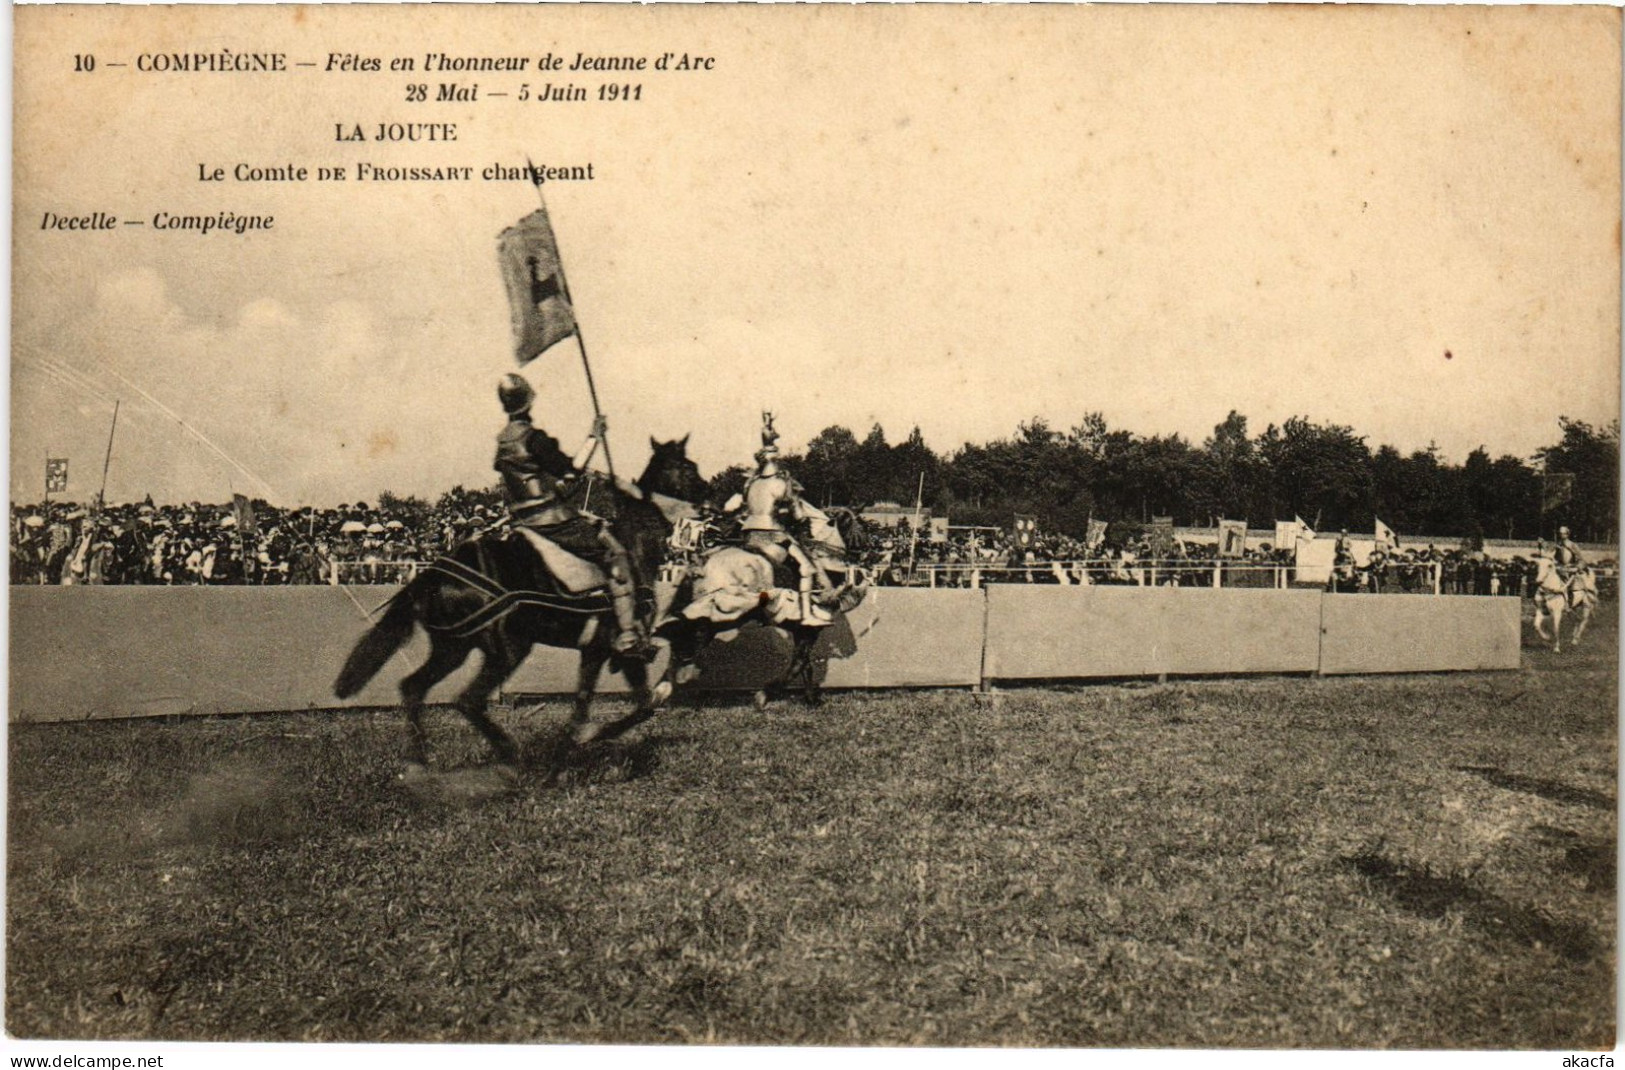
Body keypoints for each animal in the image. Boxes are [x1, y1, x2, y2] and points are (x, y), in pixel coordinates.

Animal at [329, 435, 705, 767]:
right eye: (689, 467)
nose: (709, 499)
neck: (633, 545)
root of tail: (434, 575)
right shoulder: (619, 650)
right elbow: (642, 706)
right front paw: (589, 738)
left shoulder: (595, 651)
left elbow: (590, 702)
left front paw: (575, 741)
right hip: (507, 649)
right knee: (467, 700)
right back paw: (511, 754)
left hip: (453, 648)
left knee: (413, 689)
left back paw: (420, 762)